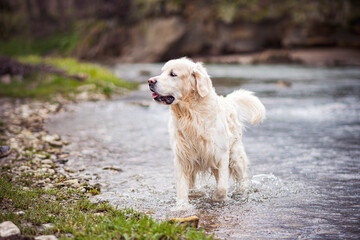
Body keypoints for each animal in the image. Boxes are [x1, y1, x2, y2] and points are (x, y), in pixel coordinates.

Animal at [148, 58, 266, 210]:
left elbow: (221, 188)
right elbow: (182, 188)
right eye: (162, 71)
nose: (150, 81)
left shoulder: (220, 154)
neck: (191, 115)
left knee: (241, 179)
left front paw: (218, 198)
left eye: (173, 74)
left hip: (235, 156)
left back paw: (241, 192)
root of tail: (227, 100)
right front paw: (182, 207)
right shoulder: (182, 157)